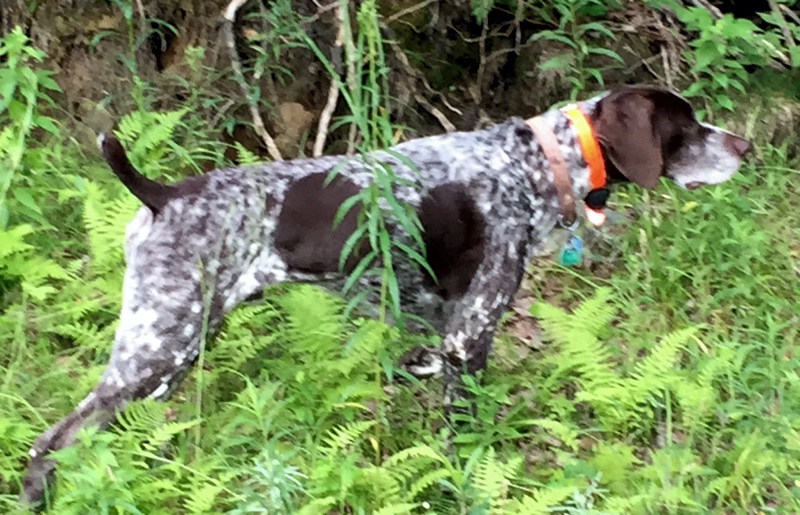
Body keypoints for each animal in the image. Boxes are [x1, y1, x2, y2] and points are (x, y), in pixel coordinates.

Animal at [23, 85, 752, 508]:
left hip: (165, 355)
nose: (747, 144)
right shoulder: (468, 341)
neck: (535, 165)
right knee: (48, 442)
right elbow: (466, 447)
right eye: (687, 126)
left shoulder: (439, 343)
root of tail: (163, 193)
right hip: (161, 347)